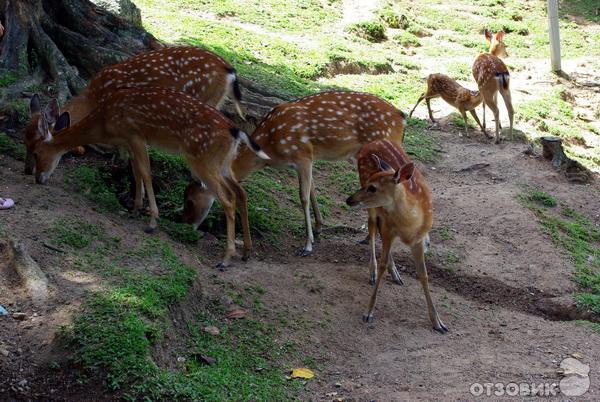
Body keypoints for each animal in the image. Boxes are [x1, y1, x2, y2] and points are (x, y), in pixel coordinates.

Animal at [22, 46, 244, 174]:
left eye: (36, 147)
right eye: (24, 139)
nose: (27, 170)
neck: (92, 97)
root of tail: (229, 71)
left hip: (202, 97)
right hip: (216, 99)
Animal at [23, 88, 268, 270]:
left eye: (36, 152)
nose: (36, 177)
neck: (104, 123)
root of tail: (236, 130)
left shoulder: (135, 134)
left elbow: (146, 172)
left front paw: (151, 221)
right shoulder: (130, 141)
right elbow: (136, 171)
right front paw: (135, 208)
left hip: (203, 160)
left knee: (227, 199)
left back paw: (225, 259)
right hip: (223, 164)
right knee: (240, 192)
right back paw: (246, 252)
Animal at [183, 90, 408, 256]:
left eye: (190, 201)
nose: (187, 224)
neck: (270, 148)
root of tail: (401, 117)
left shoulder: (303, 155)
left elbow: (303, 196)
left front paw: (307, 245)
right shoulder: (308, 159)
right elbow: (313, 189)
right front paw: (318, 227)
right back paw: (367, 236)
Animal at [344, 139, 448, 332]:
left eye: (373, 188)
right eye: (368, 183)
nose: (349, 199)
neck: (409, 225)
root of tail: (373, 142)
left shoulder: (418, 238)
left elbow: (423, 274)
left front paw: (438, 323)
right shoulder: (388, 227)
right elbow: (383, 264)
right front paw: (368, 312)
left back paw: (396, 275)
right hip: (372, 209)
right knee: (371, 228)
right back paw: (373, 272)